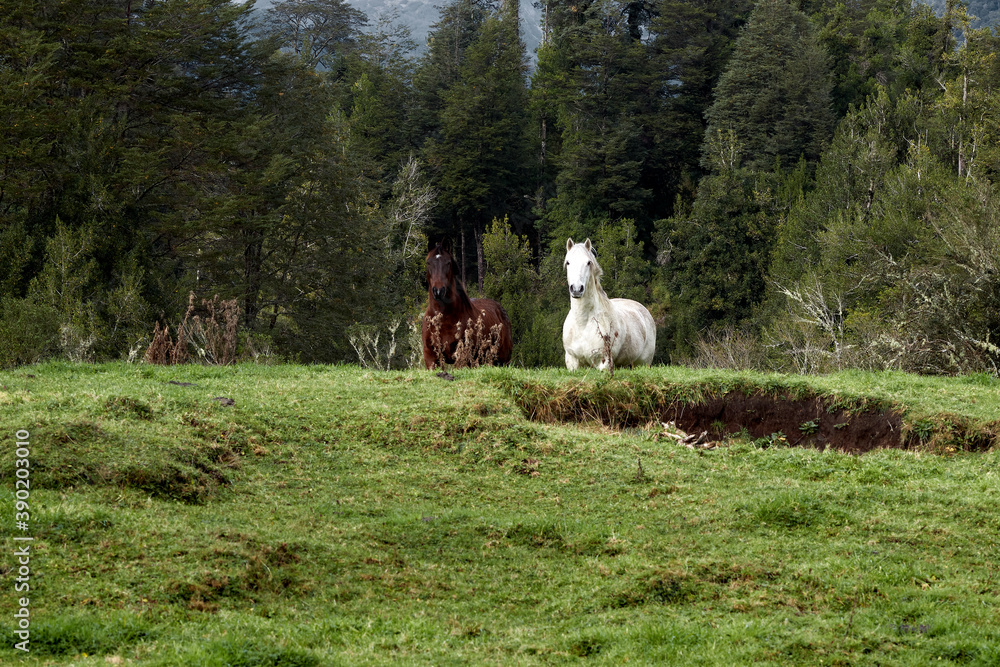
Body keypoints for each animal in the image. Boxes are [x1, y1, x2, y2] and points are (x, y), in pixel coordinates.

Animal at [562, 237, 655, 371]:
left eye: (588, 262)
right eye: (568, 262)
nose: (576, 289)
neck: (583, 324)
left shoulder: (604, 362)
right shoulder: (572, 362)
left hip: (643, 364)